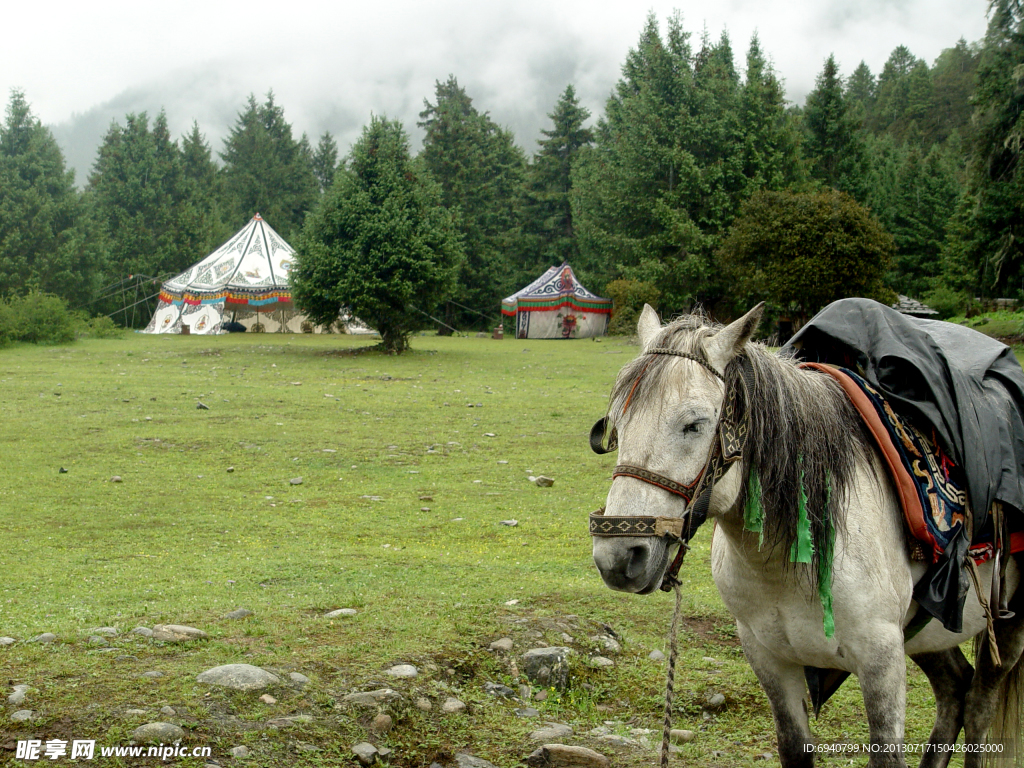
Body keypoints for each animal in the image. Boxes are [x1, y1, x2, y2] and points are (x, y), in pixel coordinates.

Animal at [589, 307, 1024, 768]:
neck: (788, 563)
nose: (618, 557)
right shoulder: (769, 658)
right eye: (617, 425)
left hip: (1006, 622)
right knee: (955, 690)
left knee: (978, 706)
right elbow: (794, 747)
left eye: (694, 424)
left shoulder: (881, 659)